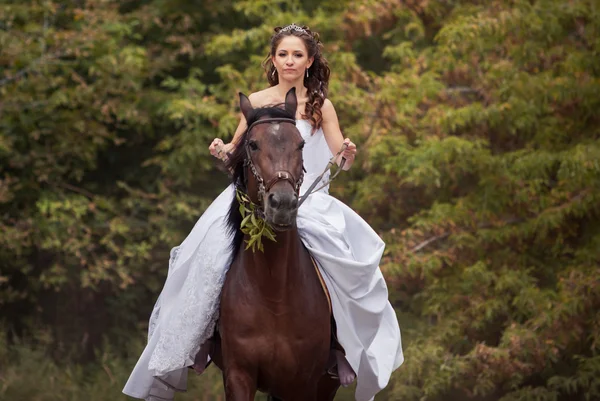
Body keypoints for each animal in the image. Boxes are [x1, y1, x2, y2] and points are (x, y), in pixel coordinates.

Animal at [209, 88, 342, 400]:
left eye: (300, 144)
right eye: (253, 144)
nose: (282, 205)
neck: (273, 293)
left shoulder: (303, 382)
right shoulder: (238, 375)